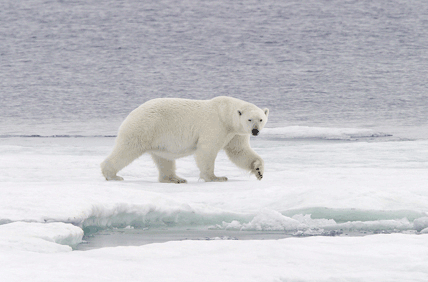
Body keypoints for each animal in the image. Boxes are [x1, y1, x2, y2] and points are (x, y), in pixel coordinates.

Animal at [100, 96, 268, 183]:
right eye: (249, 119)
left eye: (260, 119)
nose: (255, 131)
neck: (225, 113)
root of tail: (132, 113)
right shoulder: (215, 126)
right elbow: (207, 150)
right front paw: (216, 177)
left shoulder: (235, 133)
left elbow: (239, 152)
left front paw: (259, 171)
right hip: (144, 127)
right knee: (127, 149)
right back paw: (112, 175)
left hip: (158, 138)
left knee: (164, 160)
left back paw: (175, 178)